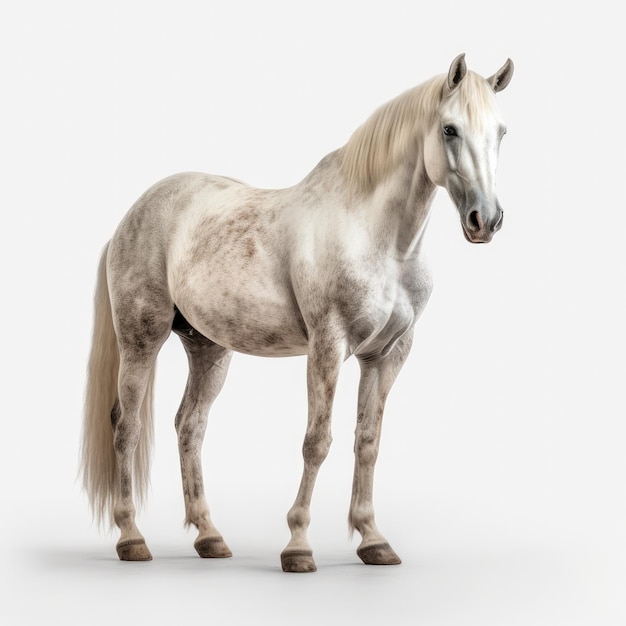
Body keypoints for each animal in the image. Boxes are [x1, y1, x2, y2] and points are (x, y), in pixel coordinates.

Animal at [81, 53, 512, 572]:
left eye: (501, 132)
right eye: (450, 129)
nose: (486, 221)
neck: (379, 238)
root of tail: (130, 216)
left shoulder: (387, 354)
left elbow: (367, 442)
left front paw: (372, 539)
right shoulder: (328, 345)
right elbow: (317, 441)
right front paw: (298, 545)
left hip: (209, 349)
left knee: (190, 426)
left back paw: (208, 536)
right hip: (141, 338)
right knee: (125, 425)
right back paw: (131, 538)